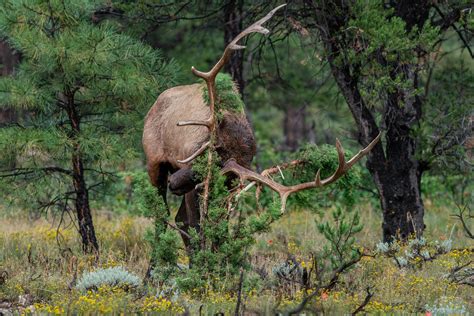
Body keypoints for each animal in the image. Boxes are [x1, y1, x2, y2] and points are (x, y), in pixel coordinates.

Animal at [142, 3, 382, 248]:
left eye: (212, 168)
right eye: (202, 155)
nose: (174, 182)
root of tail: (155, 102)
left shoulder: (225, 187)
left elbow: (215, 228)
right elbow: (196, 226)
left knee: (177, 219)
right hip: (154, 163)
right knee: (162, 215)